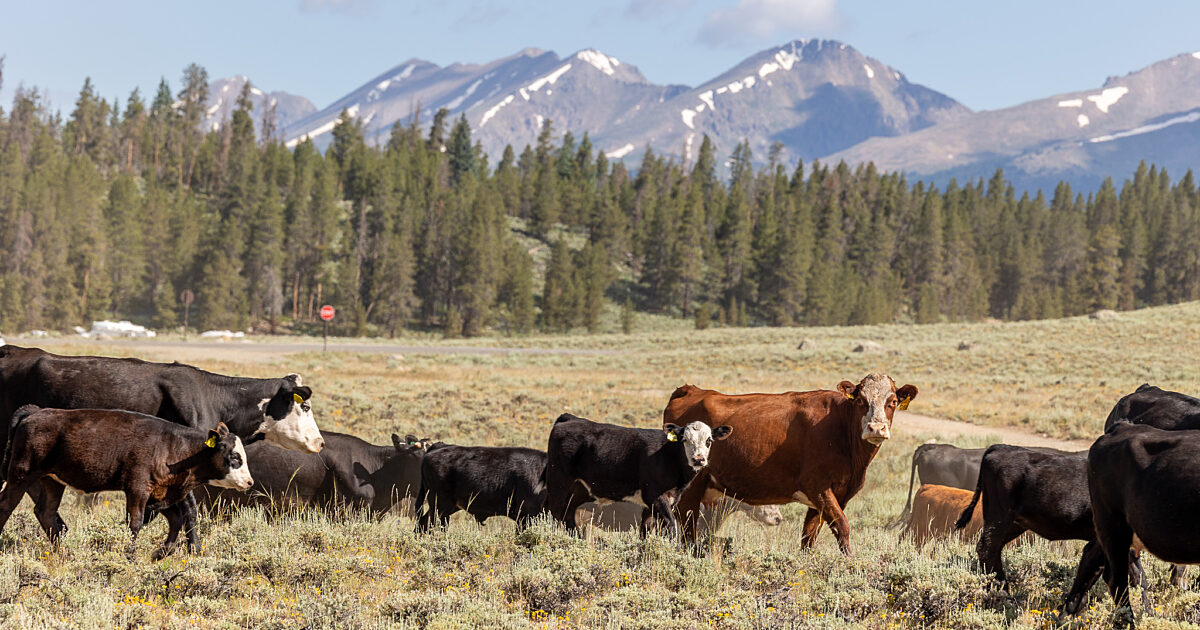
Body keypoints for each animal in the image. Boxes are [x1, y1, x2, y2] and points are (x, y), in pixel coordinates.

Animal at [0, 406, 253, 560]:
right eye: (234, 456)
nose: (249, 482)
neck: (172, 448)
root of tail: (34, 413)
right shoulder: (138, 489)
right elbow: (135, 523)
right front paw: (130, 555)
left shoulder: (161, 494)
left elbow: (177, 520)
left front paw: (160, 553)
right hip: (20, 476)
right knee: (6, 506)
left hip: (52, 481)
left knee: (46, 512)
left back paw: (64, 553)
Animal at [545, 412, 731, 538]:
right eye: (684, 439)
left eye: (709, 440)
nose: (698, 459)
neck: (667, 455)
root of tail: (570, 418)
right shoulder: (655, 495)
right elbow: (671, 525)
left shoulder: (656, 503)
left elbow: (645, 530)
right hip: (559, 481)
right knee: (554, 512)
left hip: (579, 489)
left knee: (568, 515)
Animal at [664, 373, 918, 553]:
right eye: (861, 401)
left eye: (893, 401)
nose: (876, 428)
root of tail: (691, 390)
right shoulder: (818, 486)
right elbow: (842, 526)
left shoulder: (829, 496)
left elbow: (809, 537)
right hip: (692, 490)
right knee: (687, 529)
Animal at [955, 444, 1148, 617]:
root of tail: (1001, 447)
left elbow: (1136, 576)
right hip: (999, 516)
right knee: (987, 549)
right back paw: (1002, 596)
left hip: (1014, 523)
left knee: (993, 550)